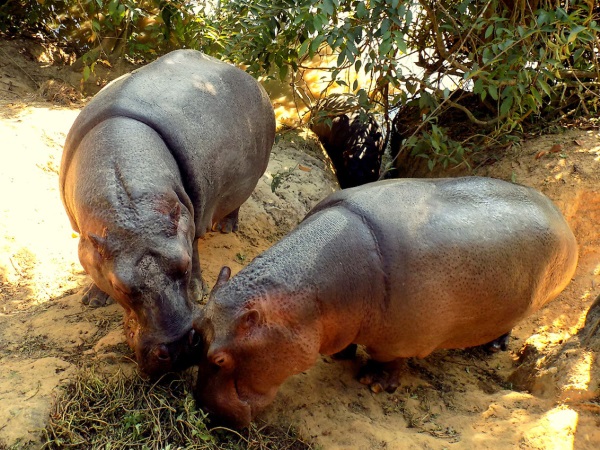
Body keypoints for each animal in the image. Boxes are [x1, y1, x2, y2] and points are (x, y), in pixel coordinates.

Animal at [59, 49, 276, 376]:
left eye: (183, 266)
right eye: (118, 285)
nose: (179, 349)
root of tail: (254, 80)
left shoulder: (191, 217)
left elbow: (195, 244)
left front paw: (198, 288)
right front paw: (92, 299)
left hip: (250, 178)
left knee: (235, 203)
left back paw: (227, 227)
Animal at [195, 175, 580, 426]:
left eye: (220, 359)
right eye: (197, 330)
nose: (202, 410)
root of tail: (560, 215)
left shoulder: (400, 340)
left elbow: (389, 360)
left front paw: (374, 383)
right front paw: (340, 356)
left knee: (508, 326)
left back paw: (494, 347)